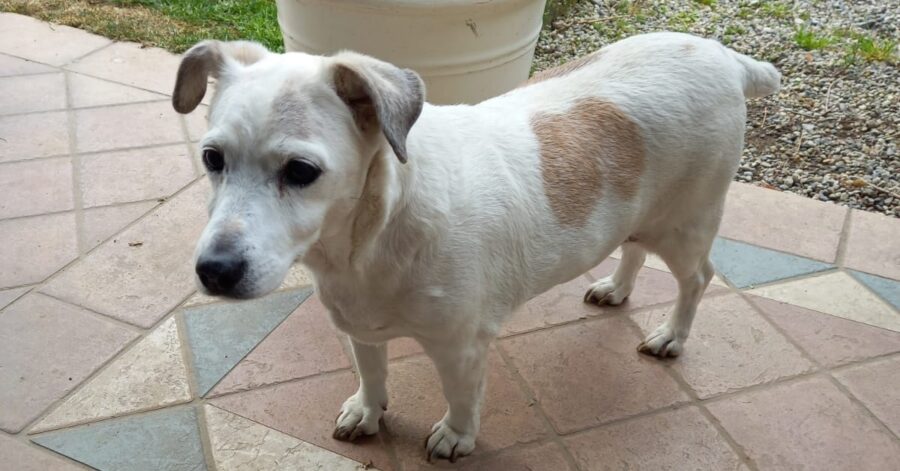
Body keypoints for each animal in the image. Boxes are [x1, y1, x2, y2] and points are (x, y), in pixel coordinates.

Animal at [172, 32, 776, 460]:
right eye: (212, 159)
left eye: (301, 171)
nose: (214, 271)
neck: (370, 239)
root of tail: (724, 56)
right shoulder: (358, 326)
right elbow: (371, 373)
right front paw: (368, 412)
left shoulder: (461, 347)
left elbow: (462, 399)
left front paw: (455, 438)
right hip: (640, 216)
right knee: (633, 247)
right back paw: (617, 288)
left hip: (686, 226)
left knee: (697, 278)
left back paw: (672, 335)